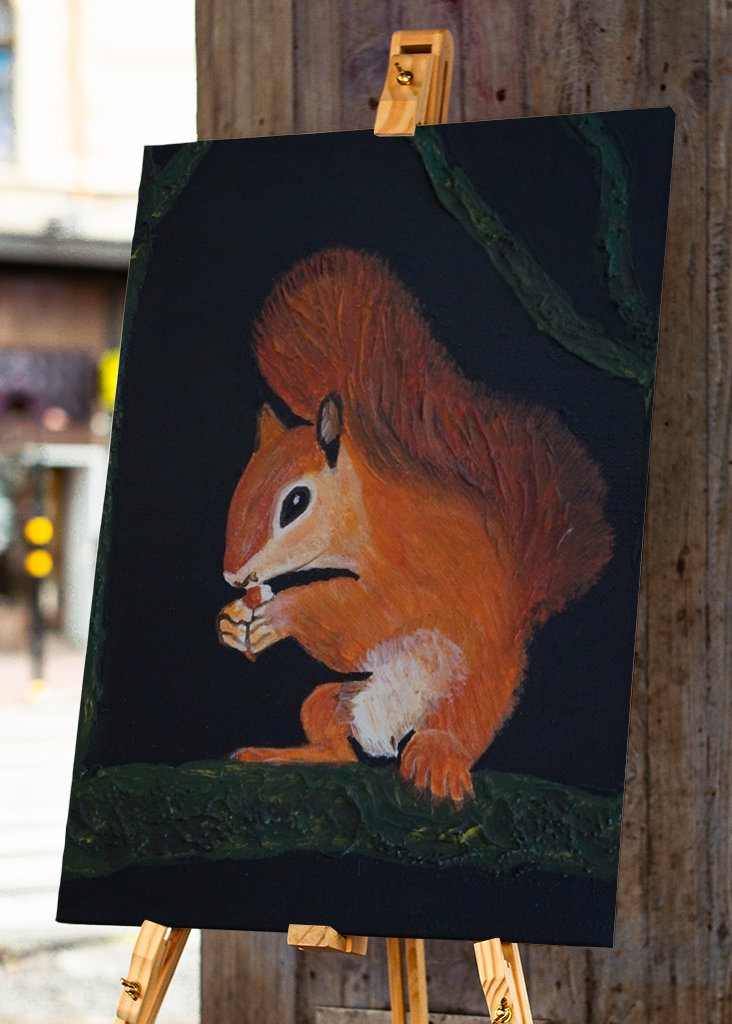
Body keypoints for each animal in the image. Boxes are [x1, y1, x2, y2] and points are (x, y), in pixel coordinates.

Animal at [217, 249, 613, 803]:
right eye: (242, 485)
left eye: (295, 503)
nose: (234, 576)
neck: (371, 515)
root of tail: (388, 731)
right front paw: (232, 623)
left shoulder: (416, 571)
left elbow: (365, 616)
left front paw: (281, 613)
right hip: (337, 698)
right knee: (334, 739)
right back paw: (290, 754)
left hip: (472, 696)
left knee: (457, 731)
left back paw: (437, 758)